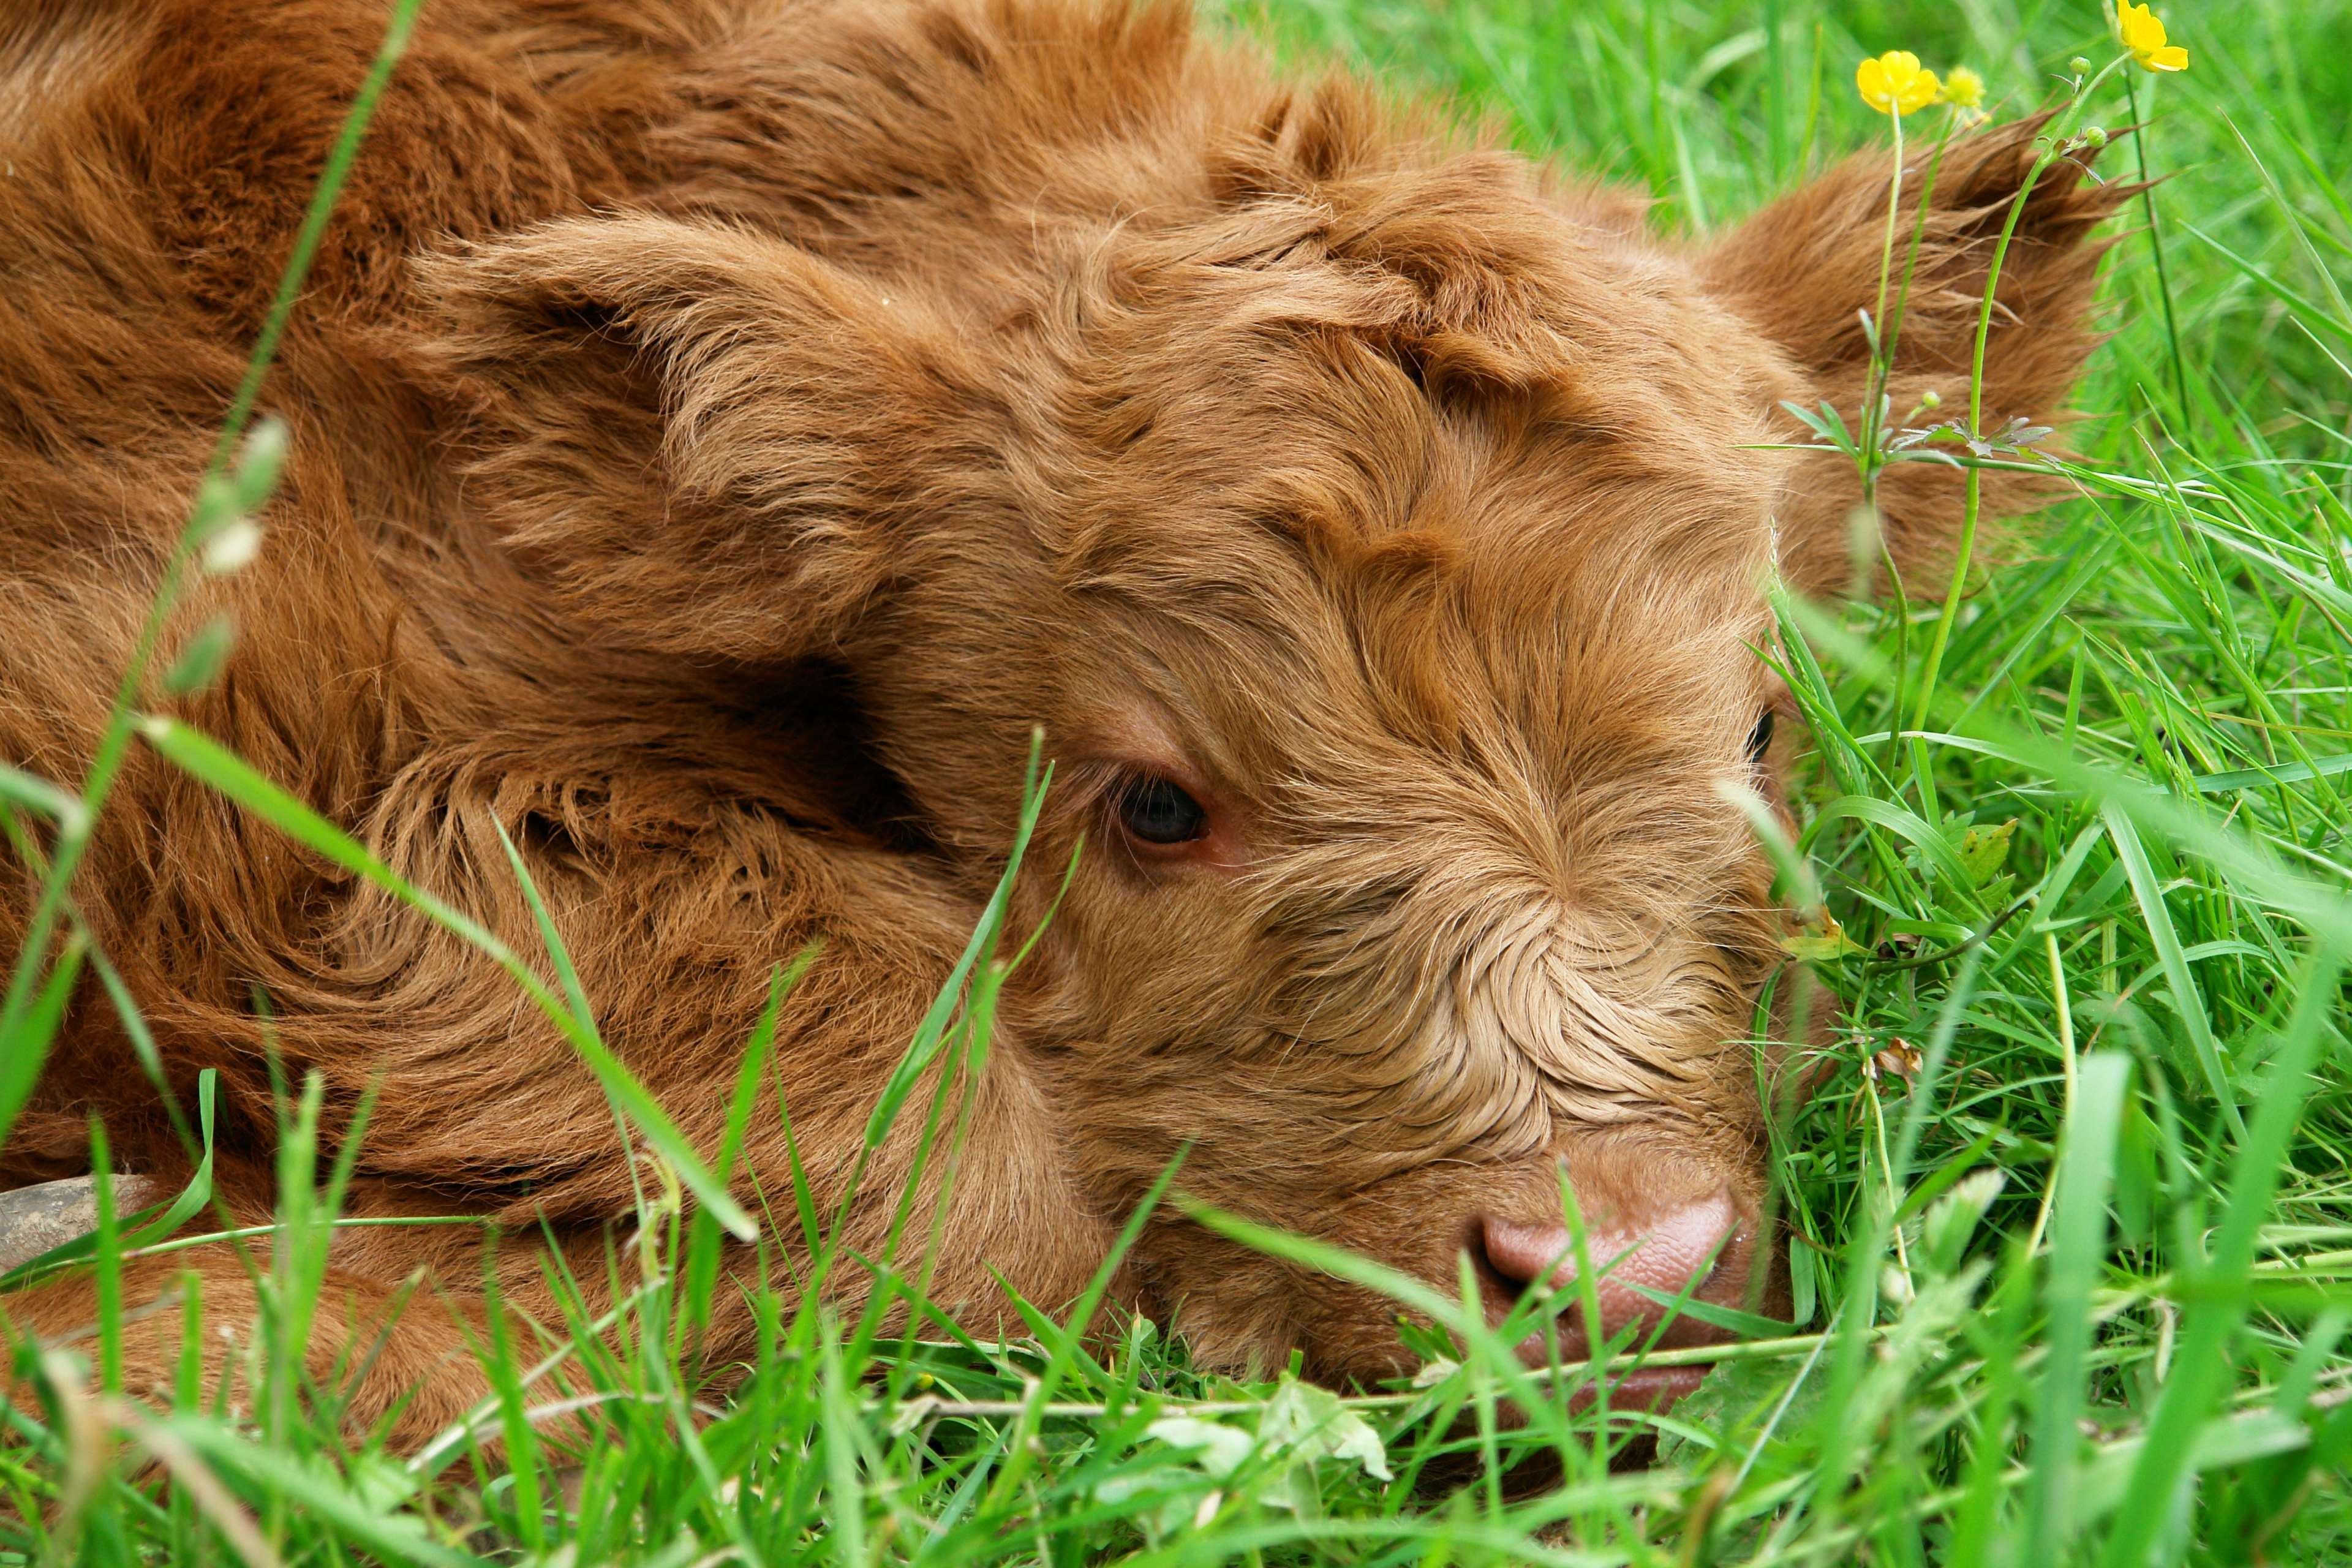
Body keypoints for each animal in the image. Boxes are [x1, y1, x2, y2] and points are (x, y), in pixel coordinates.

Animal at [0, 0, 2126, 1448]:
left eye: (1759, 733)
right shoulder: (187, 732)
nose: (1626, 1270)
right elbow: (964, 1156)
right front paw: (162, 1353)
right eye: (1152, 806)